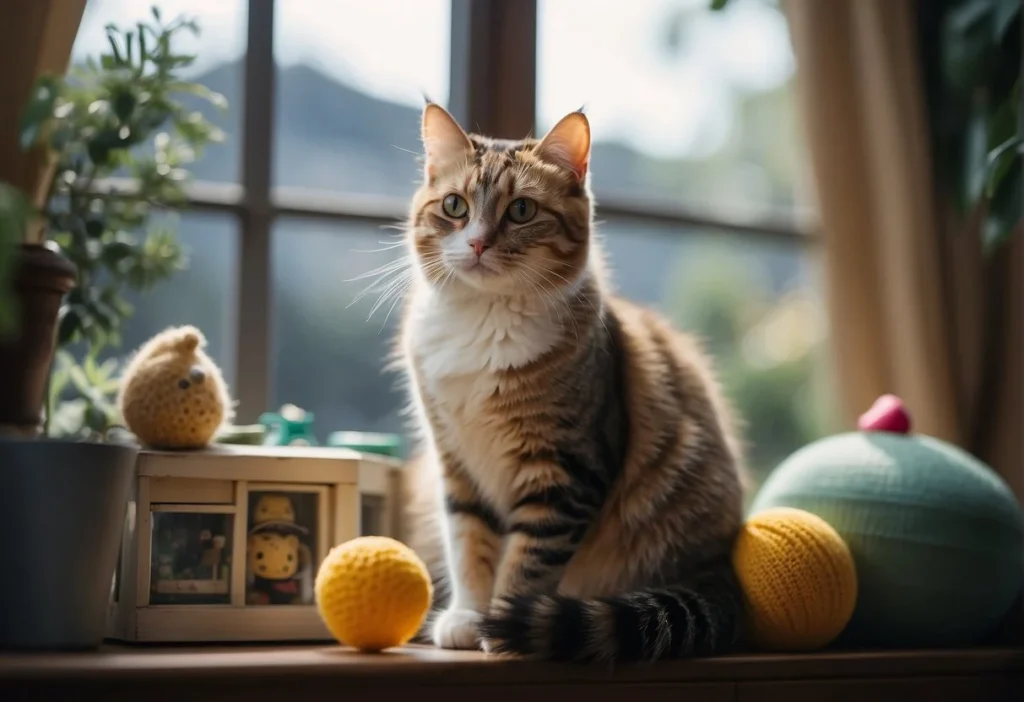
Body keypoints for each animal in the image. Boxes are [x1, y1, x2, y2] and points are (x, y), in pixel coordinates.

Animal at [391, 104, 745, 667]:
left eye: (520, 210)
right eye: (454, 205)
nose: (477, 243)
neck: (483, 321)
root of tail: (722, 568)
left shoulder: (563, 472)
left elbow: (525, 563)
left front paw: (501, 628)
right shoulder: (457, 464)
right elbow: (469, 546)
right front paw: (468, 617)